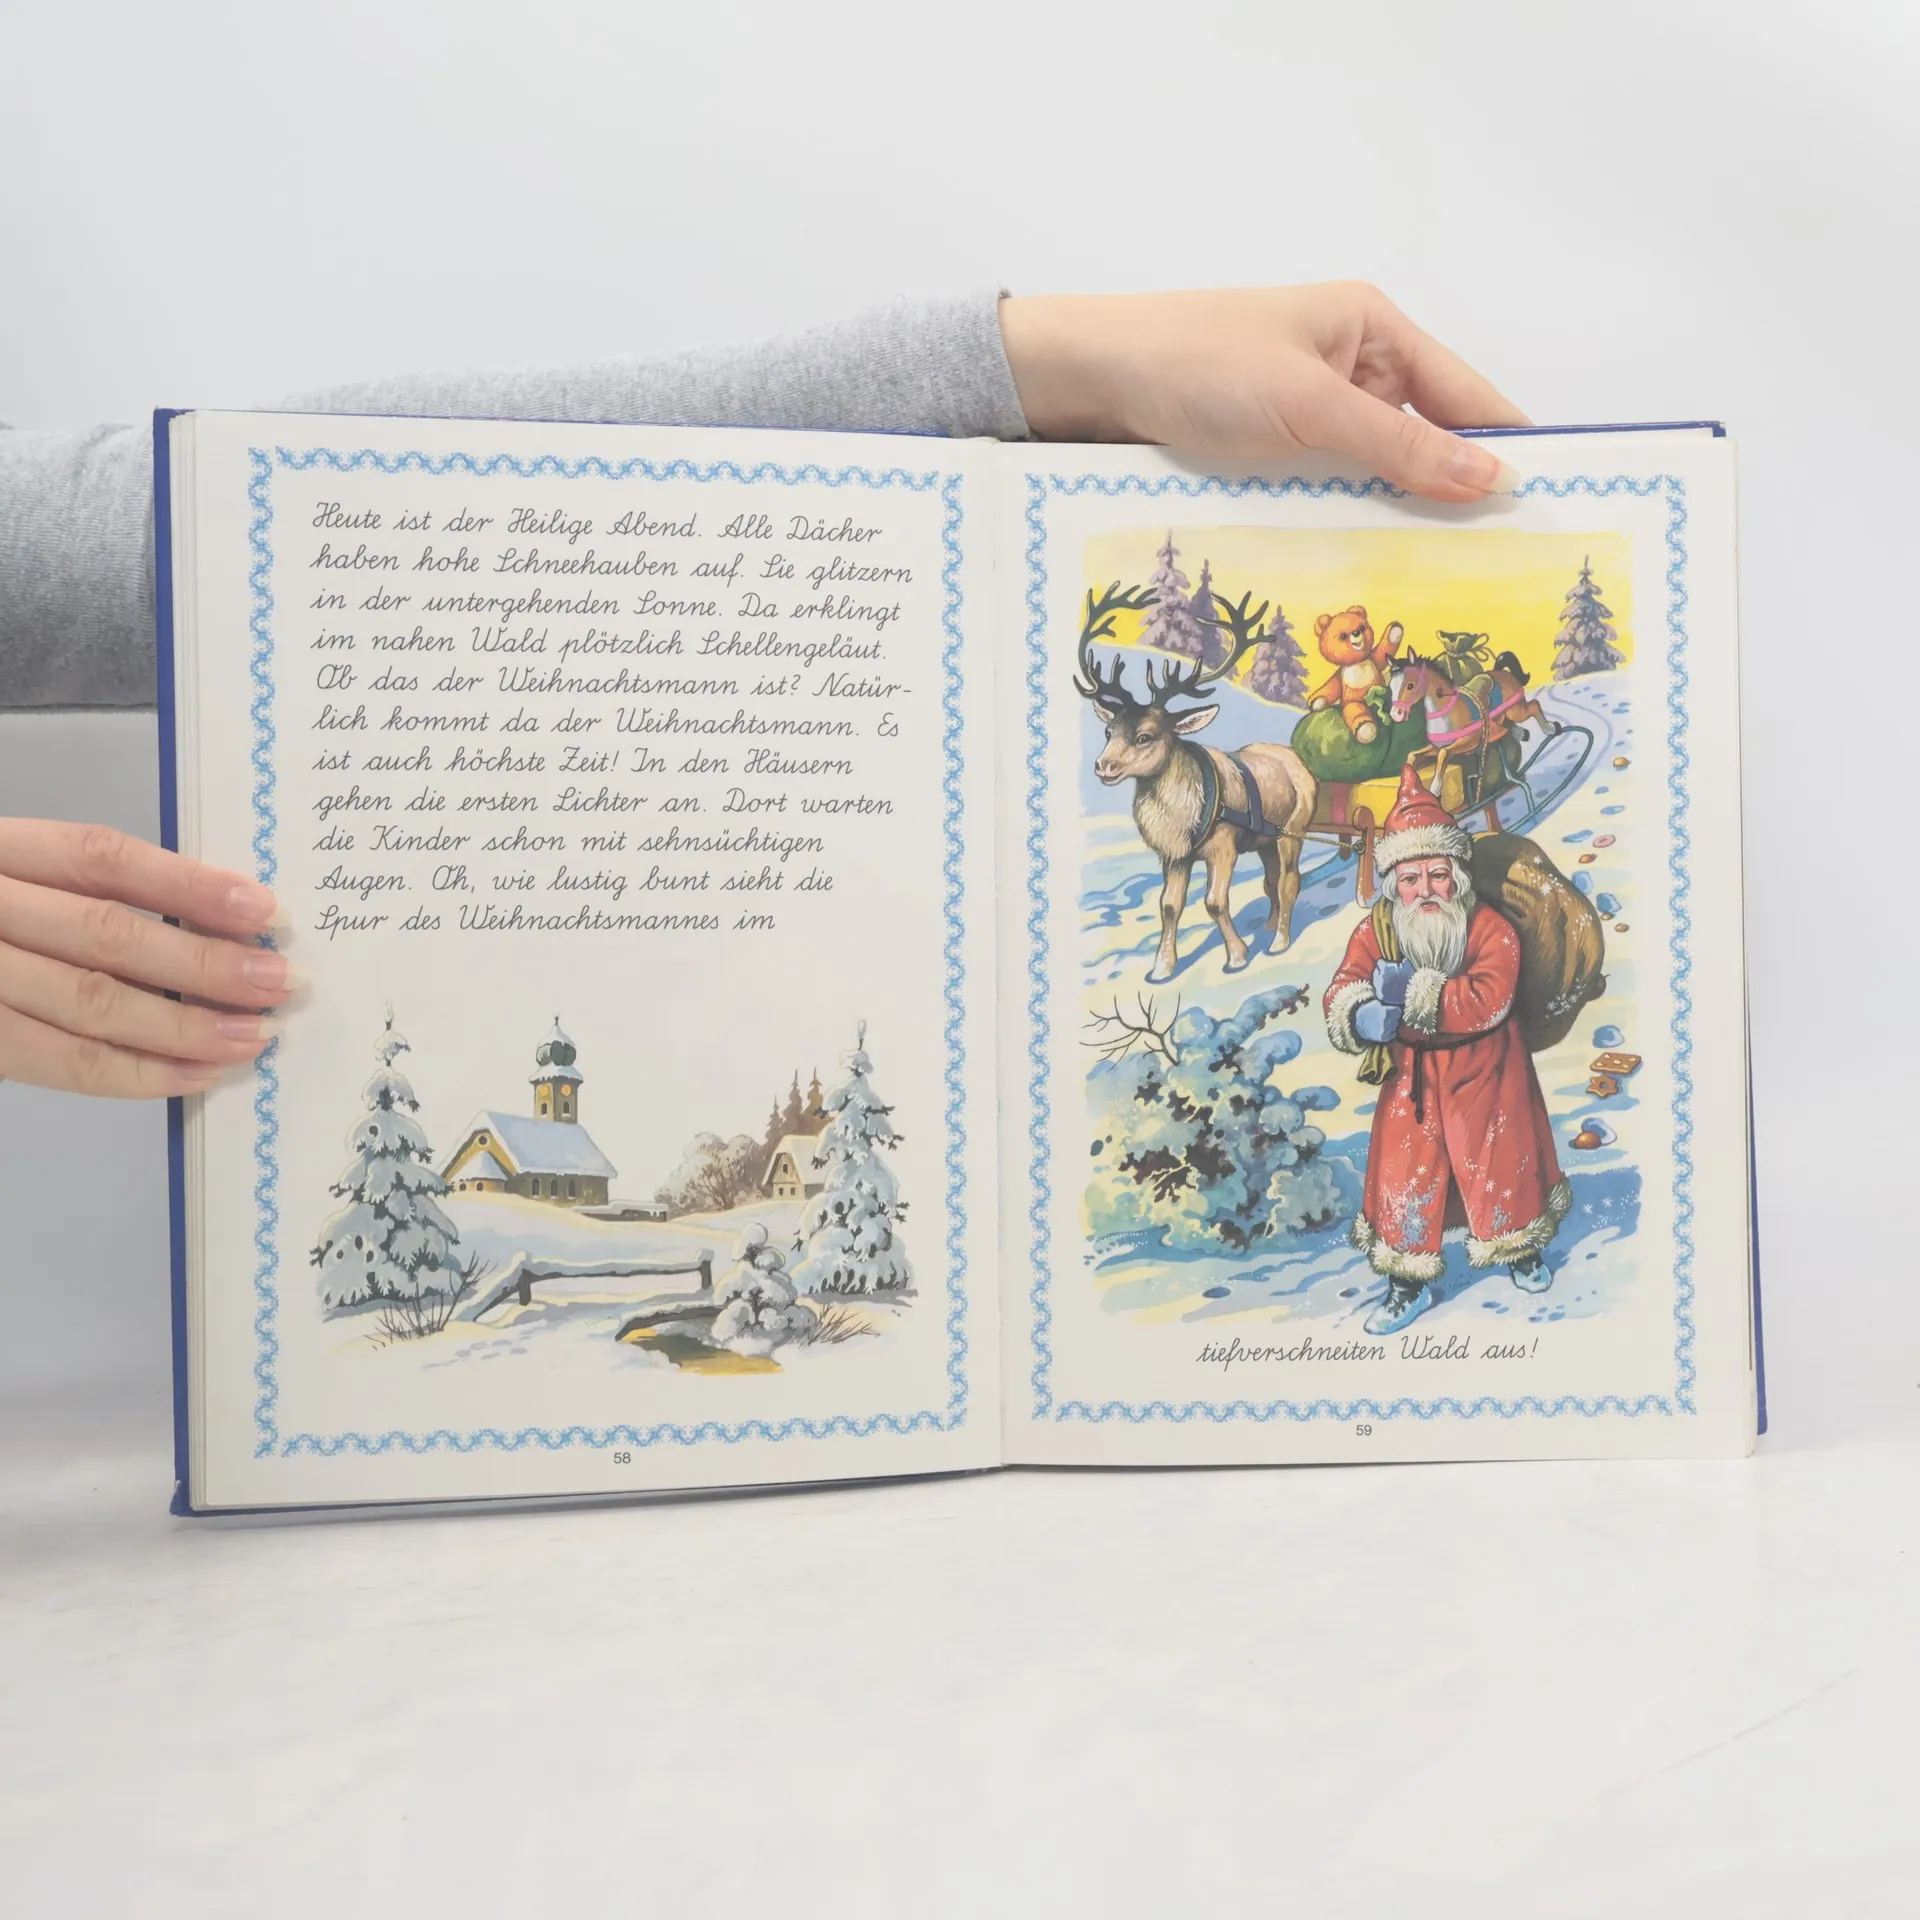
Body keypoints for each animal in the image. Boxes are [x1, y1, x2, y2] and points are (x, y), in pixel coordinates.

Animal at [1075, 582, 1318, 983]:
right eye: (1109, 731)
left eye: (1145, 735)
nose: (1103, 766)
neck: (1181, 819)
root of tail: (1300, 762)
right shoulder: (1175, 856)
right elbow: (1169, 905)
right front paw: (1161, 968)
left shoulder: (1223, 847)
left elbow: (1215, 902)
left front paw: (1237, 957)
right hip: (1265, 839)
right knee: (1271, 881)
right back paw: (1269, 927)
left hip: (1292, 830)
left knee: (1289, 881)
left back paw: (1279, 942)